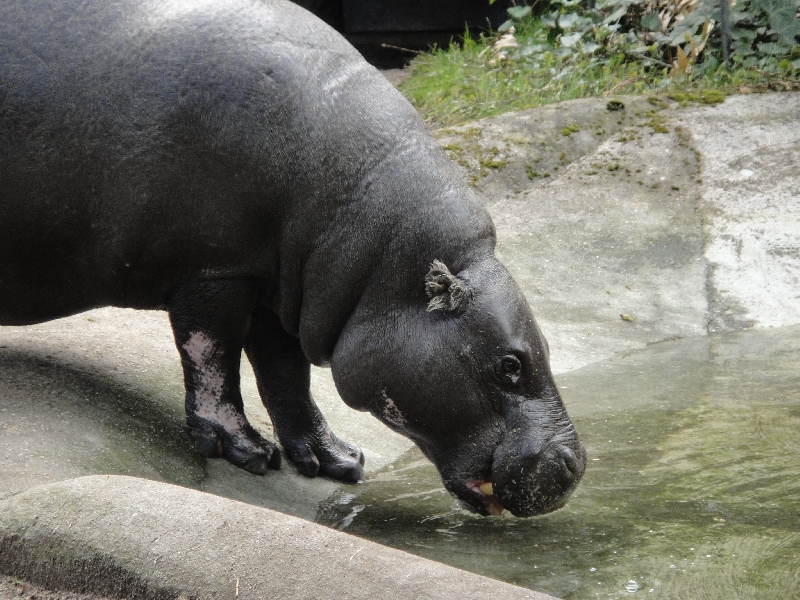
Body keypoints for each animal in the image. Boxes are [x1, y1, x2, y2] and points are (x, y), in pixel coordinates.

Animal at [1, 0, 588, 516]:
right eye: (511, 365)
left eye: (546, 348)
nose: (577, 466)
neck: (380, 260)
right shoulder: (216, 270)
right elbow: (213, 359)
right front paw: (247, 453)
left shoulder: (282, 289)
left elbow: (287, 376)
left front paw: (339, 462)